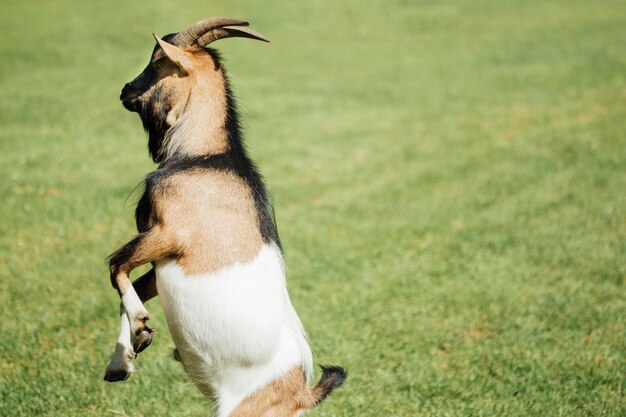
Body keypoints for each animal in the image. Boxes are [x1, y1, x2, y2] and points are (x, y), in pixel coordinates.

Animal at [103, 17, 346, 416]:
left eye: (157, 63)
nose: (125, 90)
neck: (207, 156)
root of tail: (301, 394)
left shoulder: (169, 234)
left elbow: (115, 266)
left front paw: (140, 330)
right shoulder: (160, 261)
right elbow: (133, 283)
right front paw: (121, 361)